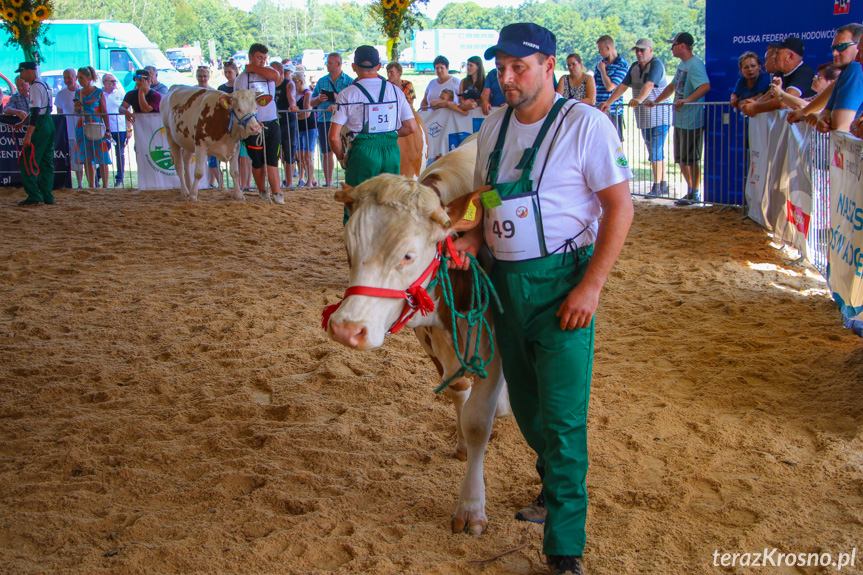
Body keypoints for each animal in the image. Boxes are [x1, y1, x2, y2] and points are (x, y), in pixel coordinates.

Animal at [326, 140, 512, 536]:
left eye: (408, 255)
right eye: (348, 246)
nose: (346, 328)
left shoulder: (496, 347)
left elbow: (478, 421)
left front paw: (471, 507)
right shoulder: (432, 343)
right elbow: (459, 394)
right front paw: (461, 443)